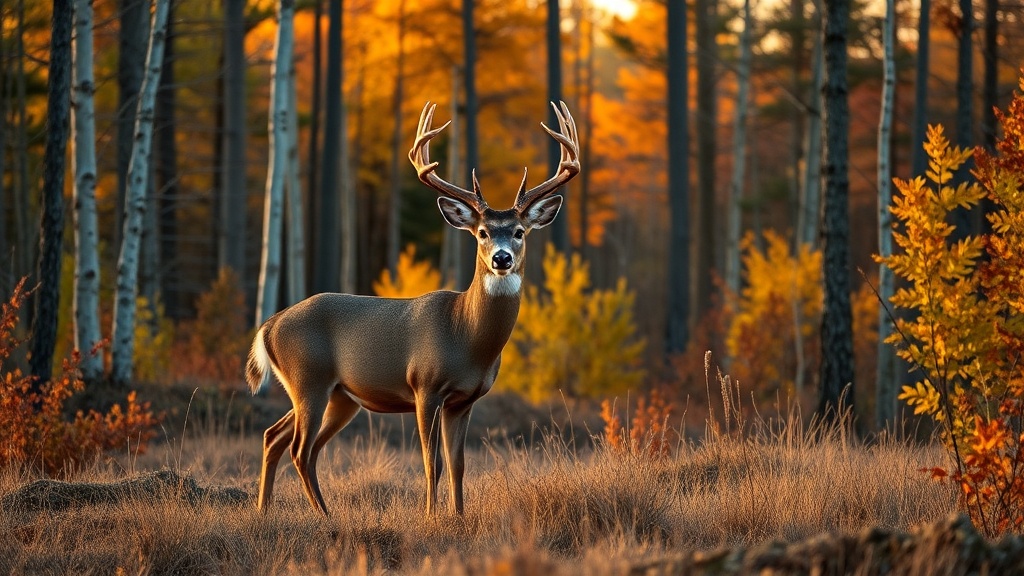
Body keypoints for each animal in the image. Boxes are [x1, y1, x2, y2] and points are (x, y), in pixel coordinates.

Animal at [245, 101, 580, 517]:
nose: (501, 258)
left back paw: (264, 510)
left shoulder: (464, 400)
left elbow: (457, 463)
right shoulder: (425, 386)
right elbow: (430, 462)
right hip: (309, 379)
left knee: (275, 436)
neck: (466, 337)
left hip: (338, 395)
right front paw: (431, 515)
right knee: (299, 449)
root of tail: (269, 324)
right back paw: (323, 514)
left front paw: (458, 516)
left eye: (519, 232)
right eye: (482, 232)